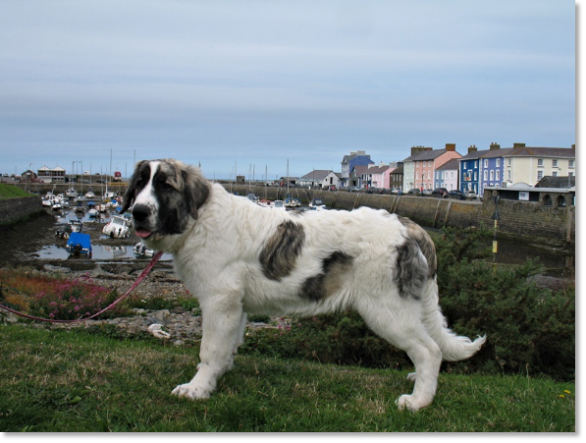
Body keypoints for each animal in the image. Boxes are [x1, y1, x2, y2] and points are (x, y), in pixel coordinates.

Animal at [120, 159, 484, 412]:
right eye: (139, 185)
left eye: (166, 186)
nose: (138, 212)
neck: (199, 220)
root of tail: (411, 226)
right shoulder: (235, 306)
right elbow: (226, 347)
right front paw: (218, 376)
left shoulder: (219, 302)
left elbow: (209, 350)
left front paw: (197, 389)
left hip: (387, 310)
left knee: (429, 350)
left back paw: (418, 400)